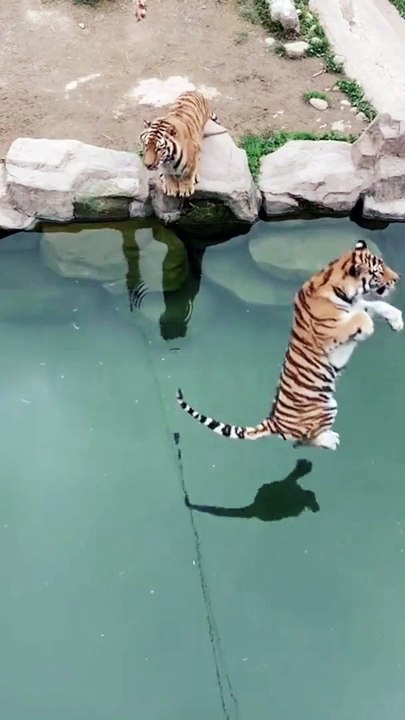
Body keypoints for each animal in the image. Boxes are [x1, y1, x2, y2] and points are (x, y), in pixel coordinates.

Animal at [177, 240, 403, 451]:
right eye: (378, 271)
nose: (397, 278)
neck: (338, 286)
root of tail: (274, 422)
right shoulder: (330, 330)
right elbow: (362, 317)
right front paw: (370, 326)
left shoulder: (357, 304)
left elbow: (375, 305)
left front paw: (396, 320)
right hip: (327, 407)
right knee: (303, 441)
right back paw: (330, 440)